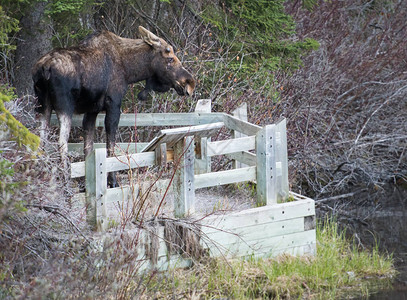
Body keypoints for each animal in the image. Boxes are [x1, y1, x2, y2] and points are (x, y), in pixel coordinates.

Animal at [33, 26, 196, 188]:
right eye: (170, 58)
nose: (190, 83)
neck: (130, 70)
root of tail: (43, 68)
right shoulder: (114, 105)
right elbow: (110, 147)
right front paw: (112, 182)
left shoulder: (92, 110)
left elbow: (88, 148)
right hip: (65, 106)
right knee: (61, 142)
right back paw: (66, 182)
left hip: (42, 105)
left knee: (41, 140)